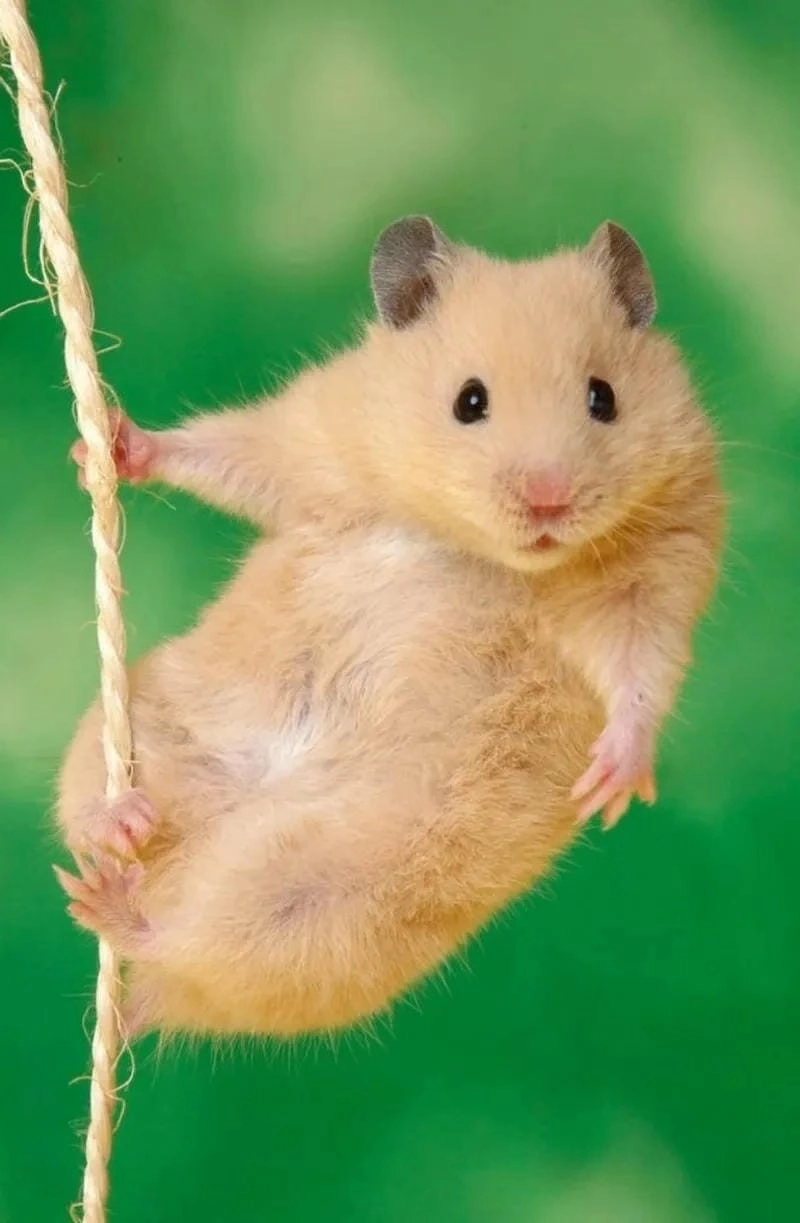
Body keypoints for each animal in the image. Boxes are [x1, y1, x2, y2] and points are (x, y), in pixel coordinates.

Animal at [55, 216, 725, 1041]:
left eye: (604, 398)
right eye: (470, 401)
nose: (549, 500)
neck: (482, 550)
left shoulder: (661, 573)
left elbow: (640, 672)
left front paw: (612, 786)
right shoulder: (315, 440)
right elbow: (229, 454)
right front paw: (108, 447)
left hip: (317, 912)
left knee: (191, 944)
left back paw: (115, 902)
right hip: (141, 721)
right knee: (99, 808)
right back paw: (121, 825)